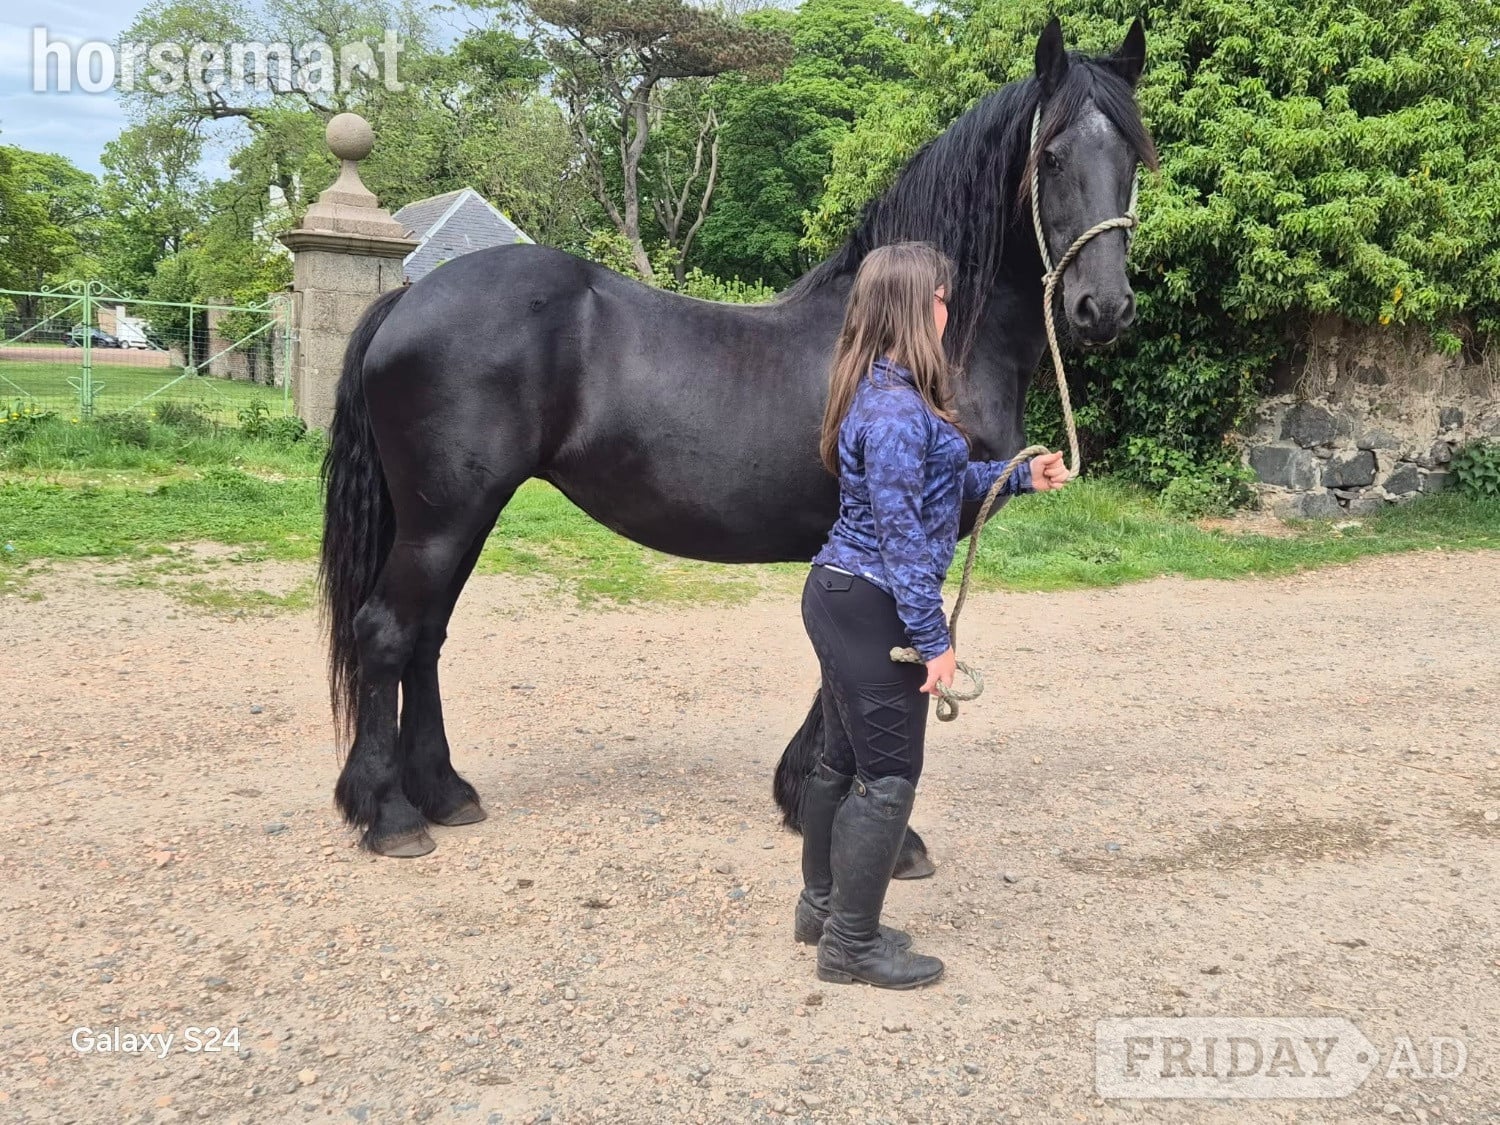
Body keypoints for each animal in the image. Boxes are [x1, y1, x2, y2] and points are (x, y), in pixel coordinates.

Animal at [318, 17, 1158, 860]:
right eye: (1050, 156)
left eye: (1132, 157)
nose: (1104, 308)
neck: (919, 342)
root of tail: (406, 299)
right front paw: (876, 827)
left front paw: (803, 791)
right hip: (443, 519)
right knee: (387, 633)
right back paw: (390, 813)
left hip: (461, 518)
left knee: (425, 637)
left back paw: (445, 792)